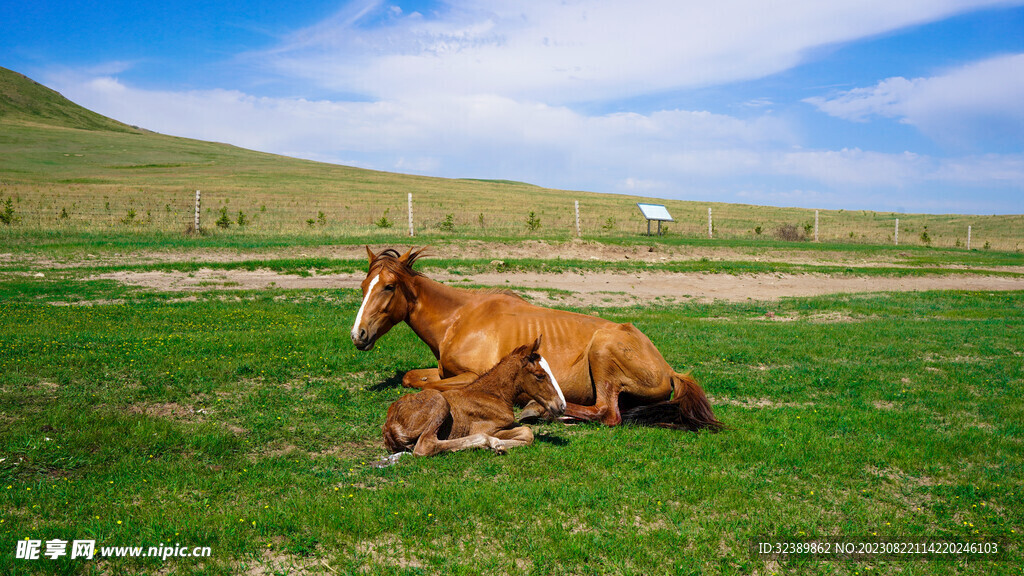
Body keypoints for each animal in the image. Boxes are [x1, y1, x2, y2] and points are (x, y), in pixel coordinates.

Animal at [356, 243, 724, 428]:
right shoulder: (445, 371)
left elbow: (435, 388)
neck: (461, 319)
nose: (358, 334)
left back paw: (540, 409)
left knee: (607, 413)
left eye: (389, 287)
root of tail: (668, 369)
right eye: (363, 286)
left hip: (602, 353)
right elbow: (411, 378)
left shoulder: (471, 376)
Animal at [382, 334, 565, 455]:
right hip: (440, 402)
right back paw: (487, 442)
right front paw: (497, 444)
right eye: (540, 375)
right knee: (425, 446)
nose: (562, 406)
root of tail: (390, 425)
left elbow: (526, 432)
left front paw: (500, 446)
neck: (493, 394)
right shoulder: (491, 428)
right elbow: (527, 432)